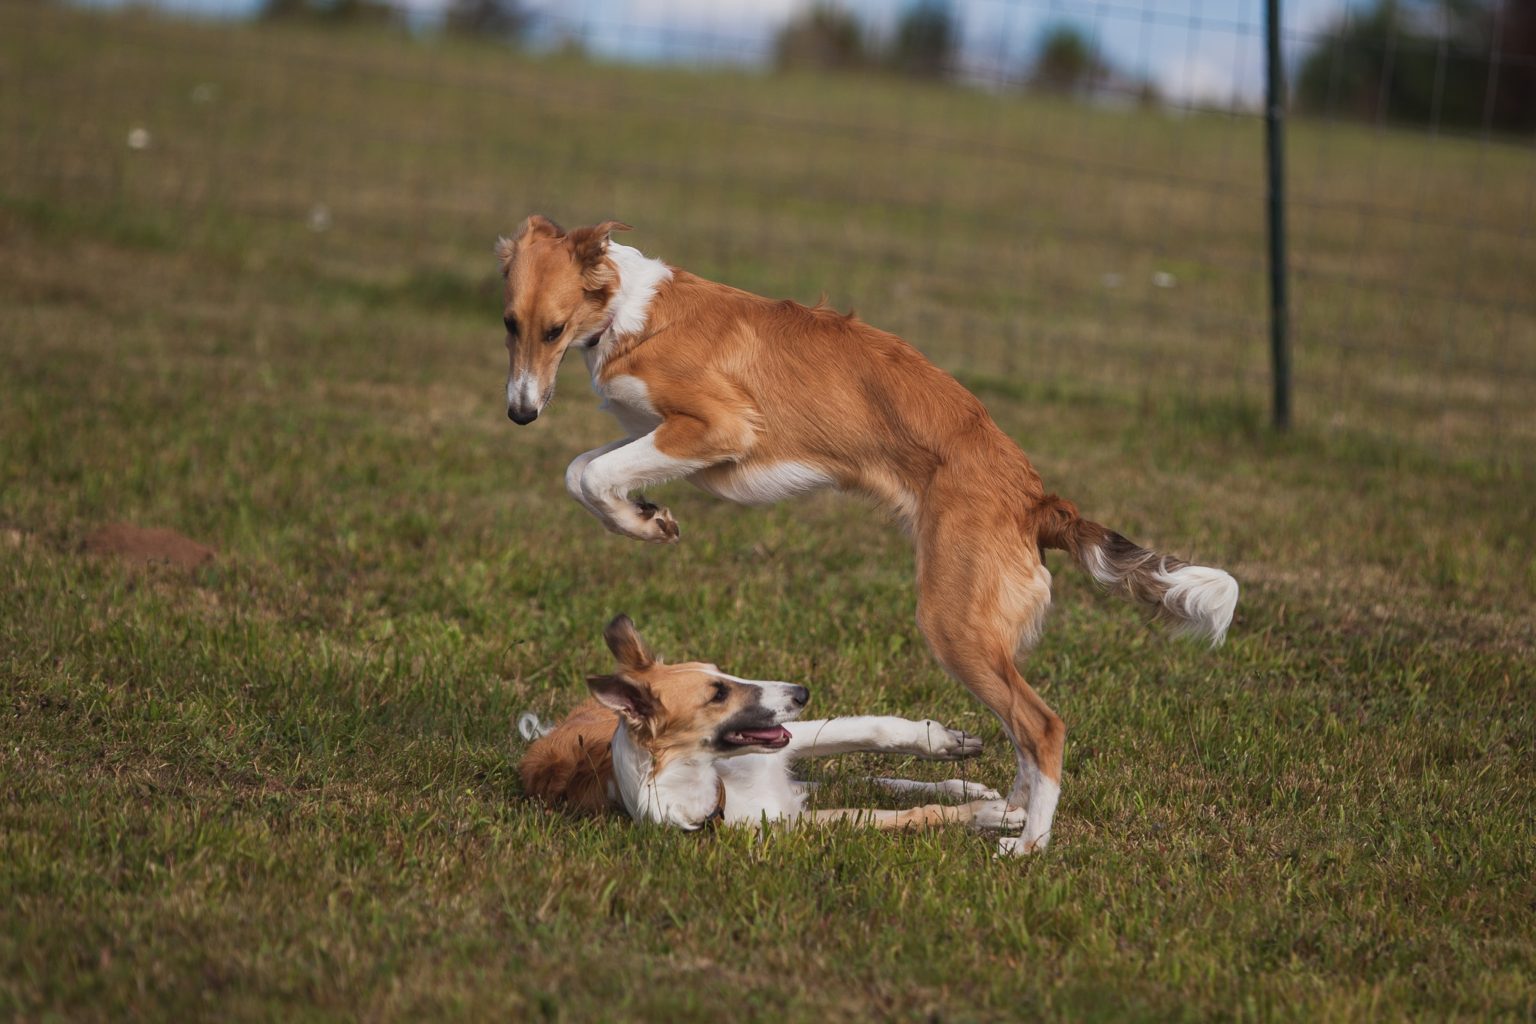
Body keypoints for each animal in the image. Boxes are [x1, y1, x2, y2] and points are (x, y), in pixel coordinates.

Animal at [519, 617, 1019, 835]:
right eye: (717, 694)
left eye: (722, 672)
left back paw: (964, 782)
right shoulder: (789, 821)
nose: (801, 692)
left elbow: (872, 730)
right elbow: (904, 814)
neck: (713, 780)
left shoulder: (782, 747)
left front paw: (942, 742)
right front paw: (988, 816)